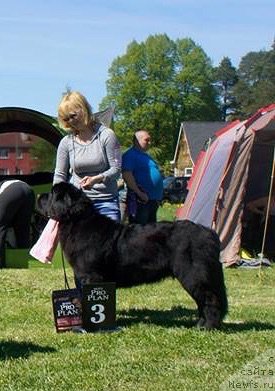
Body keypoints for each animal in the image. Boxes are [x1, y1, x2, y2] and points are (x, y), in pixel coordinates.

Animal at [38, 182, 229, 330]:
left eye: (52, 194)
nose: (39, 194)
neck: (77, 221)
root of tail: (210, 233)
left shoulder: (90, 275)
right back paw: (201, 324)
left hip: (193, 274)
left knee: (210, 299)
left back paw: (207, 326)